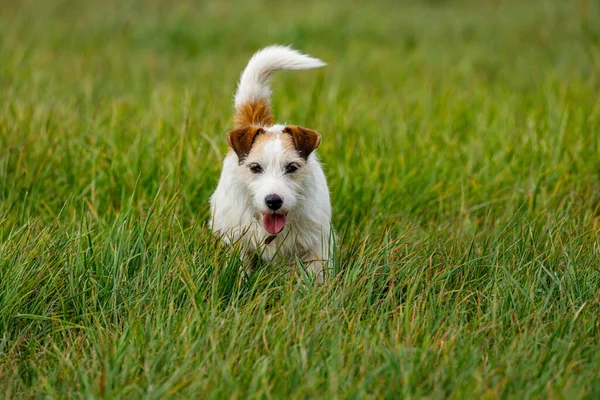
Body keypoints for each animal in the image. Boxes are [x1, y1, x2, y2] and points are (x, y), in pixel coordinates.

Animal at [210, 44, 332, 282]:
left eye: (291, 168)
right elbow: (240, 267)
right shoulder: (238, 241)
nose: (273, 201)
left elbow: (314, 275)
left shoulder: (317, 243)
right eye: (255, 168)